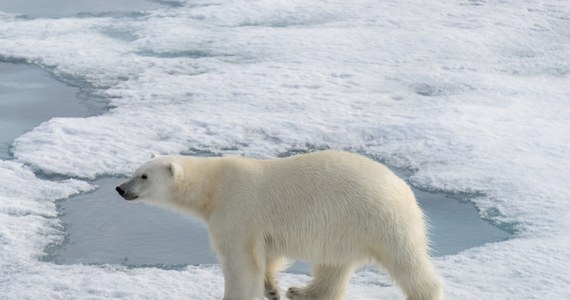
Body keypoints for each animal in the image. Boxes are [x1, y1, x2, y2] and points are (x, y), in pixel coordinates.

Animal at [115, 151, 442, 300]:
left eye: (144, 176)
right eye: (134, 171)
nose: (120, 188)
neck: (213, 187)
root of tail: (404, 188)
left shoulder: (236, 208)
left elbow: (240, 260)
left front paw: (233, 295)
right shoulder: (260, 226)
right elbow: (268, 256)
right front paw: (272, 289)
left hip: (378, 218)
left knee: (406, 260)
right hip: (345, 228)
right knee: (334, 266)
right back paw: (301, 292)